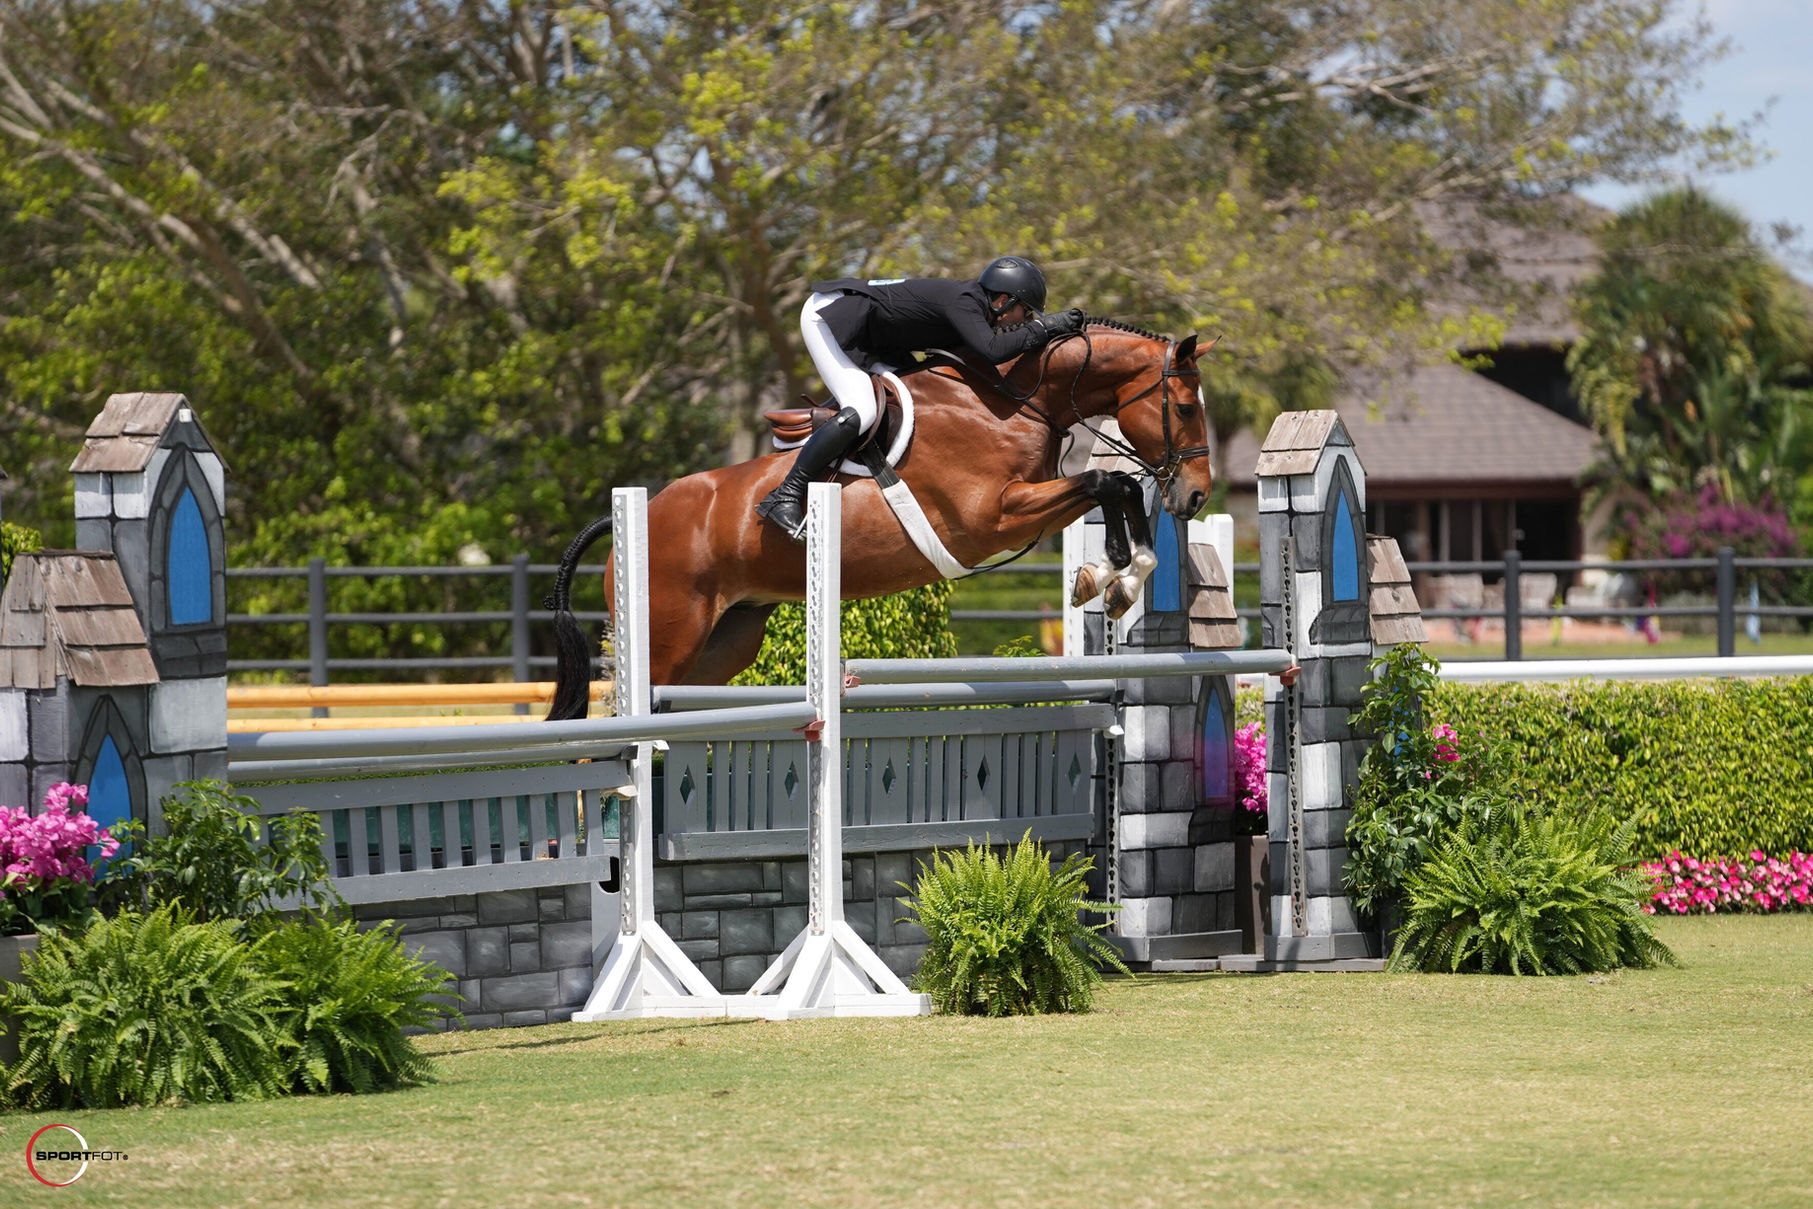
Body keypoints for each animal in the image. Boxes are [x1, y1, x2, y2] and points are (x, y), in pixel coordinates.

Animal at [544, 320, 1213, 718]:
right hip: (668, 640)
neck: (1013, 401)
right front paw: (1111, 576)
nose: (1197, 497)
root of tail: (631, 520)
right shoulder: (993, 519)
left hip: (722, 644)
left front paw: (1117, 577)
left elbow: (1116, 487)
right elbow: (1108, 480)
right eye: (1184, 407)